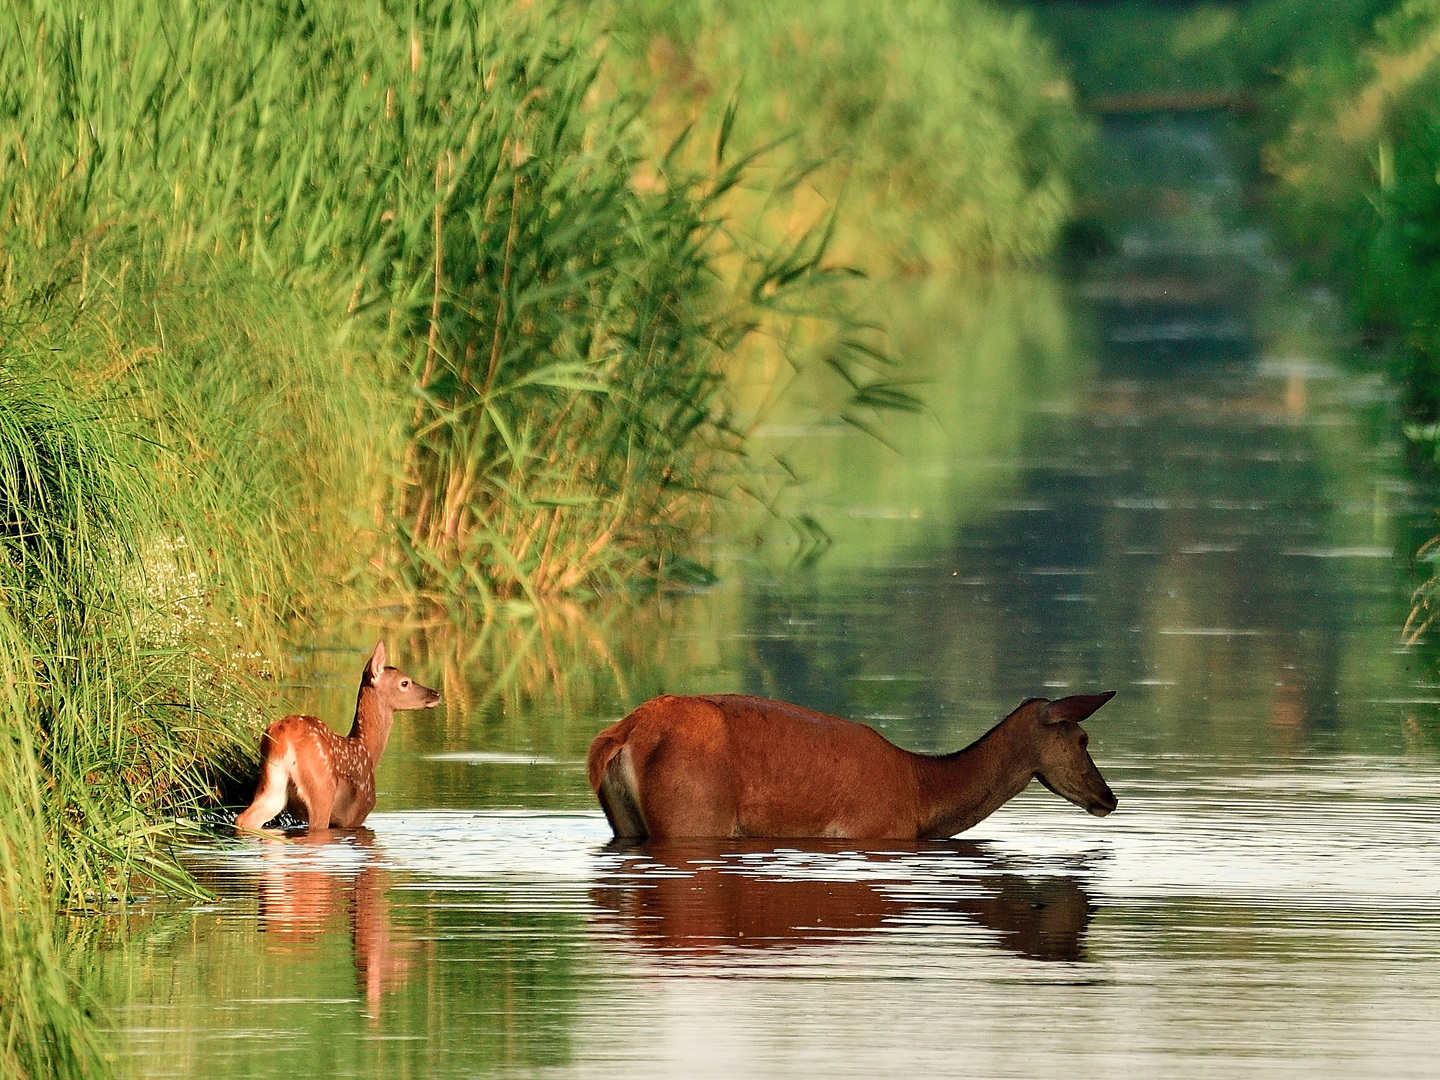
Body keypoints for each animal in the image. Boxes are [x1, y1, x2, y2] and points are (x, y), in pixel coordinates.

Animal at [236, 648, 440, 835]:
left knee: (245, 819)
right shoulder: (356, 814)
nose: (435, 694)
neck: (367, 750)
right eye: (405, 682)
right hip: (321, 787)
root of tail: (282, 735)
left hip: (273, 781)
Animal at [584, 696, 1111, 840]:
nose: (1109, 796)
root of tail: (621, 734)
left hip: (626, 820)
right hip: (693, 814)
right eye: (1082, 738)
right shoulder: (876, 828)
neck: (921, 797)